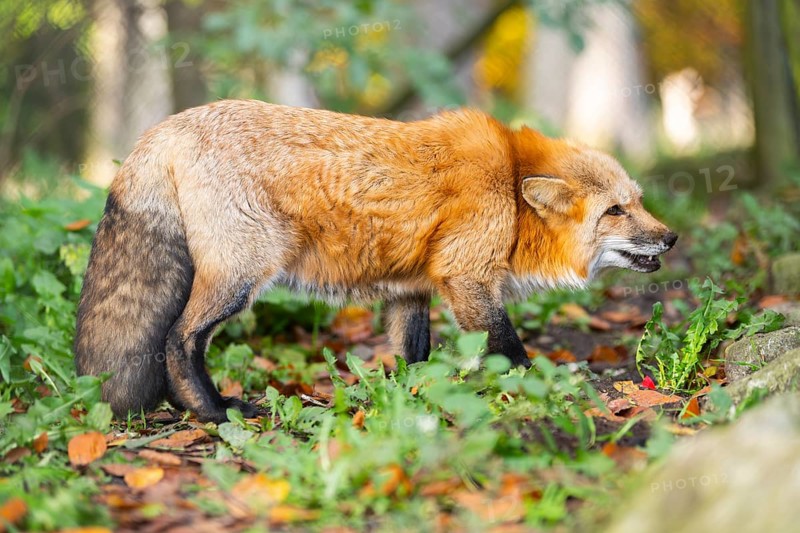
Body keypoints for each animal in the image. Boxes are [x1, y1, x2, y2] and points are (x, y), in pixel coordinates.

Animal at [75, 100, 677, 423]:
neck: (507, 184)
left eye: (639, 201)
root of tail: (165, 125)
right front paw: (544, 392)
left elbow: (414, 357)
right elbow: (510, 350)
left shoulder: (412, 290)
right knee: (179, 339)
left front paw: (413, 402)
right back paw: (214, 413)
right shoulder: (468, 278)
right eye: (615, 211)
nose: (670, 238)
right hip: (242, 275)